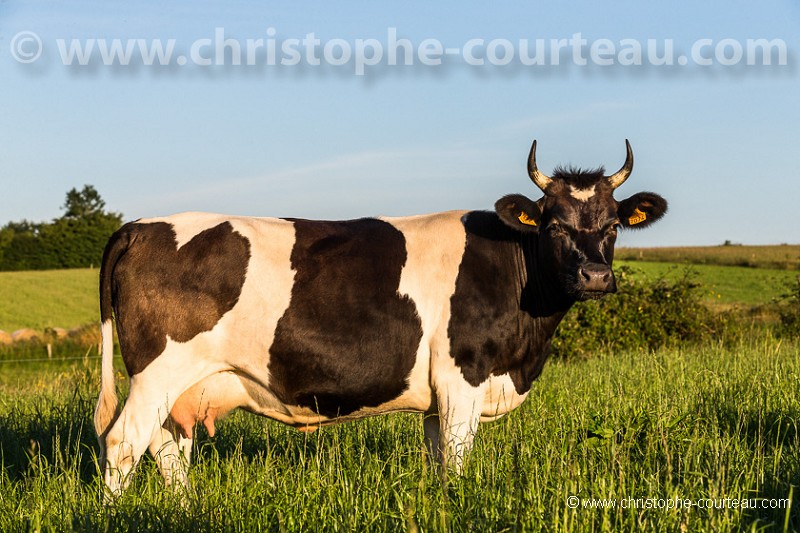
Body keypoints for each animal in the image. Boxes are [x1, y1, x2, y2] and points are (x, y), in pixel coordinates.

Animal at [94, 138, 668, 494]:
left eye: (614, 224)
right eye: (554, 225)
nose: (595, 276)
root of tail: (141, 224)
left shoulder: (438, 396)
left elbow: (439, 462)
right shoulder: (462, 377)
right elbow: (458, 460)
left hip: (182, 385)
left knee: (167, 452)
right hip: (158, 370)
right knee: (123, 444)